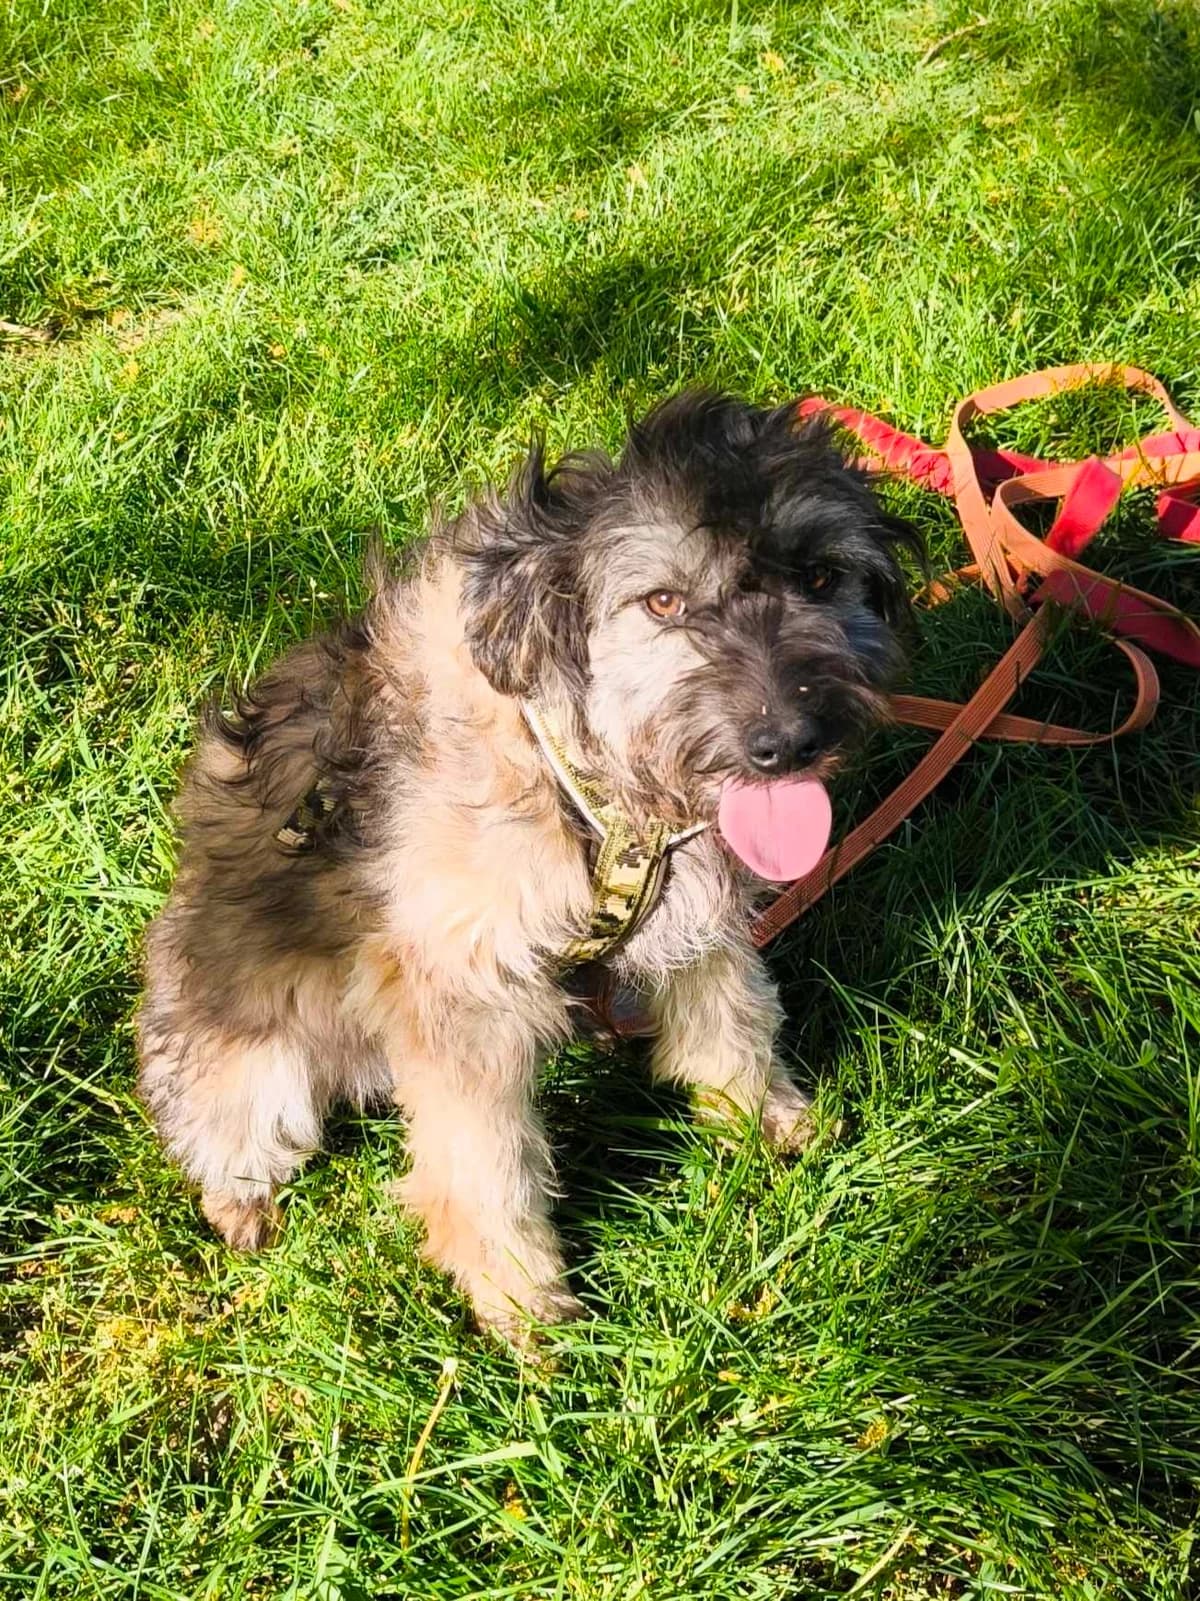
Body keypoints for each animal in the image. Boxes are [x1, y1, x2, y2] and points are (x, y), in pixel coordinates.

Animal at [138, 392, 916, 1341]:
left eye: (820, 577)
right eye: (662, 600)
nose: (787, 743)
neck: (573, 759)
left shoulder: (696, 918)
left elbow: (733, 1021)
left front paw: (764, 1118)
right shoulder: (460, 986)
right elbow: (486, 1161)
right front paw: (521, 1299)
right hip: (251, 1064)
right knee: (229, 1132)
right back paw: (242, 1205)